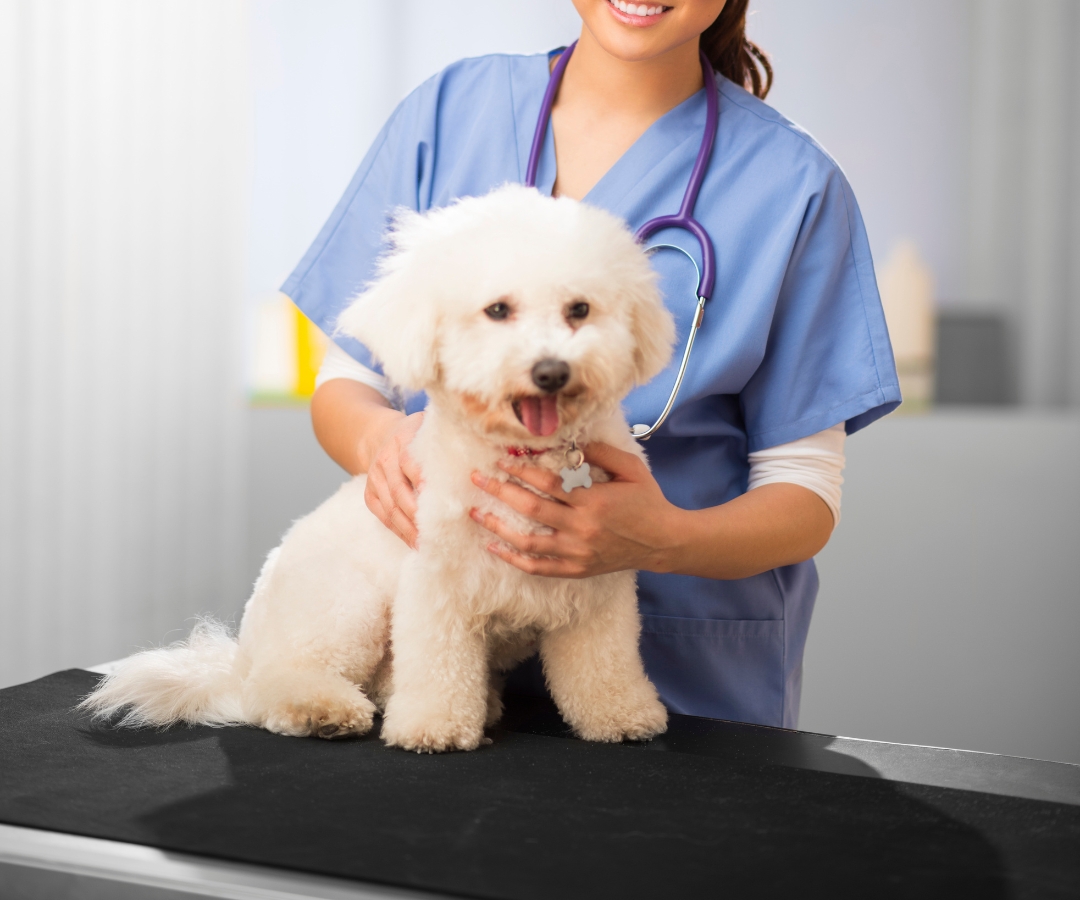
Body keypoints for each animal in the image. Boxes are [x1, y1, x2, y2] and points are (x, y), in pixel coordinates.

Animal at [84, 182, 673, 751]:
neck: (525, 453)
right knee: (278, 682)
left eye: (580, 309)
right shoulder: (437, 585)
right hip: (347, 608)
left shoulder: (599, 587)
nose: (551, 370)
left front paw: (623, 716)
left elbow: (605, 666)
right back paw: (322, 709)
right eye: (498, 310)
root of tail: (239, 657)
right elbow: (438, 667)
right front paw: (435, 727)